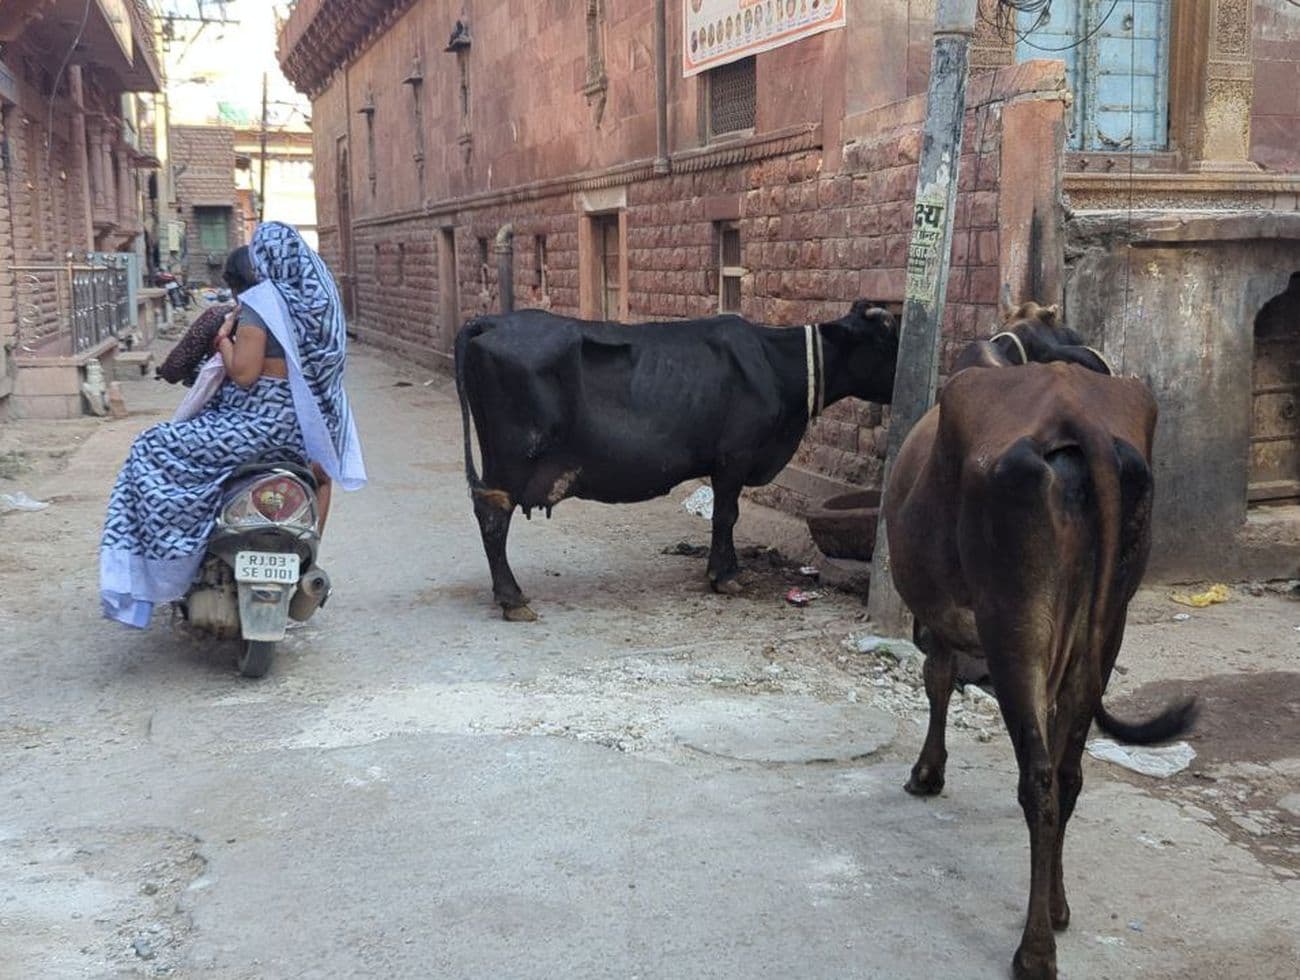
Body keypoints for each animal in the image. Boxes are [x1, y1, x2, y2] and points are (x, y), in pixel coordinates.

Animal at [454, 301, 894, 613]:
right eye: (885, 337)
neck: (773, 362)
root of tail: (491, 321)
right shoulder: (735, 455)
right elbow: (726, 515)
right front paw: (724, 576)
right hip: (513, 457)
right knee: (493, 514)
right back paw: (511, 597)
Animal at [883, 301, 1196, 977]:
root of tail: (1081, 421)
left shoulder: (943, 617)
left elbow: (937, 680)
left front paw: (927, 773)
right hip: (1105, 627)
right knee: (1069, 770)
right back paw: (1056, 906)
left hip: (1014, 621)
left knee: (1042, 779)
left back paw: (1034, 949)